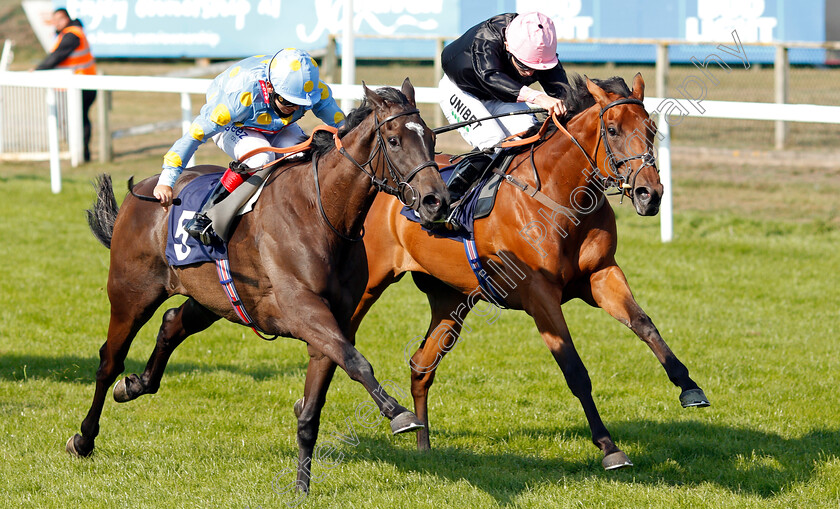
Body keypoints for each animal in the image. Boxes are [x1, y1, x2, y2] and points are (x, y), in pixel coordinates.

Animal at [69, 79, 450, 492]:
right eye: (394, 141)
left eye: (431, 138)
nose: (437, 201)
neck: (321, 213)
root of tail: (142, 191)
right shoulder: (303, 311)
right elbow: (357, 362)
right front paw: (399, 414)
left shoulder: (334, 322)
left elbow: (314, 406)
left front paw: (302, 487)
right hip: (131, 294)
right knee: (109, 360)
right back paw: (84, 437)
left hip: (211, 298)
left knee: (172, 324)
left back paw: (135, 385)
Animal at [296, 73, 708, 470]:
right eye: (612, 130)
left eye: (651, 128)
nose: (649, 194)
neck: (560, 195)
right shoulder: (540, 296)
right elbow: (575, 370)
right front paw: (609, 447)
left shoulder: (602, 274)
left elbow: (645, 324)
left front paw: (689, 386)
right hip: (368, 287)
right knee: (336, 341)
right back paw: (310, 406)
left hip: (451, 300)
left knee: (421, 365)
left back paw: (423, 444)